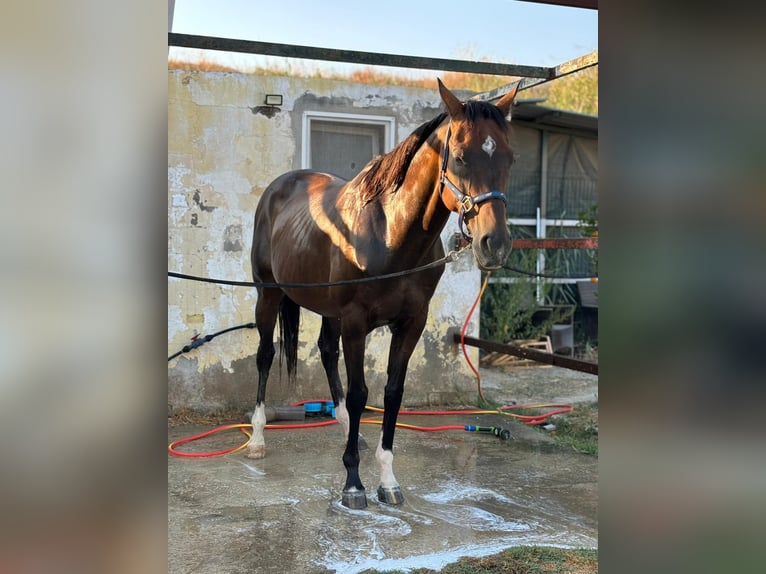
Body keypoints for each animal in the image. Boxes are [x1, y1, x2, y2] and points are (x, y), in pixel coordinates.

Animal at [246, 79, 518, 509]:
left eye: (510, 158)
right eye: (460, 157)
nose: (496, 245)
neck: (391, 234)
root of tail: (279, 187)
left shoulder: (410, 323)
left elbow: (392, 393)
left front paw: (388, 481)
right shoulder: (357, 322)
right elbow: (360, 393)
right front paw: (353, 484)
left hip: (328, 310)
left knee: (326, 351)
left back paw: (349, 431)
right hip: (268, 294)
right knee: (265, 355)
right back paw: (257, 438)